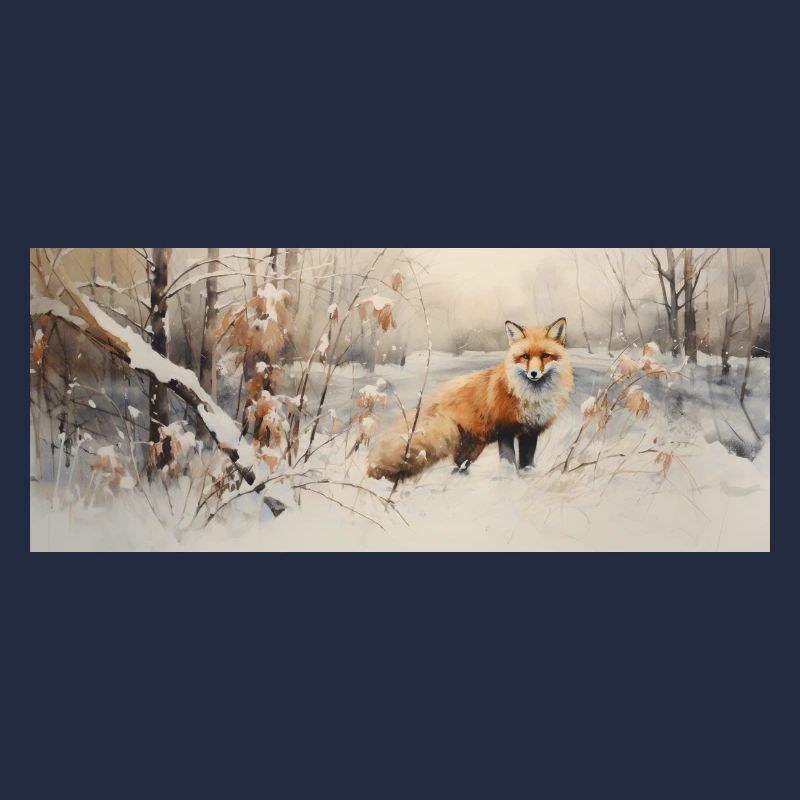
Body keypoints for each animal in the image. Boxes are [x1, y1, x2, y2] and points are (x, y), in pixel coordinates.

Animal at [367, 317, 573, 481]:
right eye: (525, 356)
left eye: (545, 356)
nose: (533, 374)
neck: (531, 398)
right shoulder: (505, 430)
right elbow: (508, 461)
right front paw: (508, 480)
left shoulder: (530, 432)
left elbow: (527, 463)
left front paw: (526, 477)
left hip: (471, 448)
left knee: (459, 466)